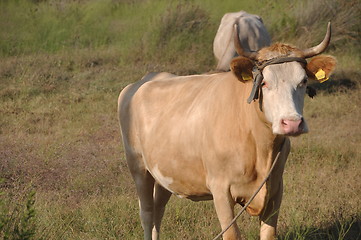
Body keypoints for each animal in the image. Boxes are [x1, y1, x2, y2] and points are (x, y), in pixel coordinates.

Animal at [117, 23, 334, 240]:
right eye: (264, 82)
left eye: (303, 81)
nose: (292, 123)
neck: (260, 149)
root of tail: (141, 82)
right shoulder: (220, 189)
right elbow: (231, 234)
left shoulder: (275, 188)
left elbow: (269, 234)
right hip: (138, 166)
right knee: (147, 213)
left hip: (165, 172)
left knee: (158, 210)